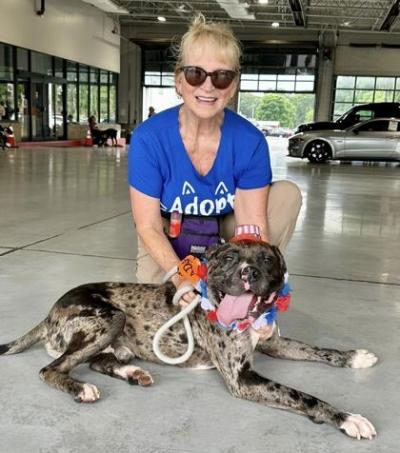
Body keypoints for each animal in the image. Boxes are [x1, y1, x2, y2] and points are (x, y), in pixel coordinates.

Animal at [0, 240, 376, 438]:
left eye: (267, 259)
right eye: (229, 257)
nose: (249, 272)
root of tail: (51, 311)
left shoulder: (273, 342)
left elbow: (315, 349)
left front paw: (353, 356)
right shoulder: (242, 379)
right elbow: (303, 396)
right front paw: (346, 418)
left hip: (114, 339)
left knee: (98, 361)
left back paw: (133, 373)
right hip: (110, 318)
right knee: (52, 369)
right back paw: (81, 389)